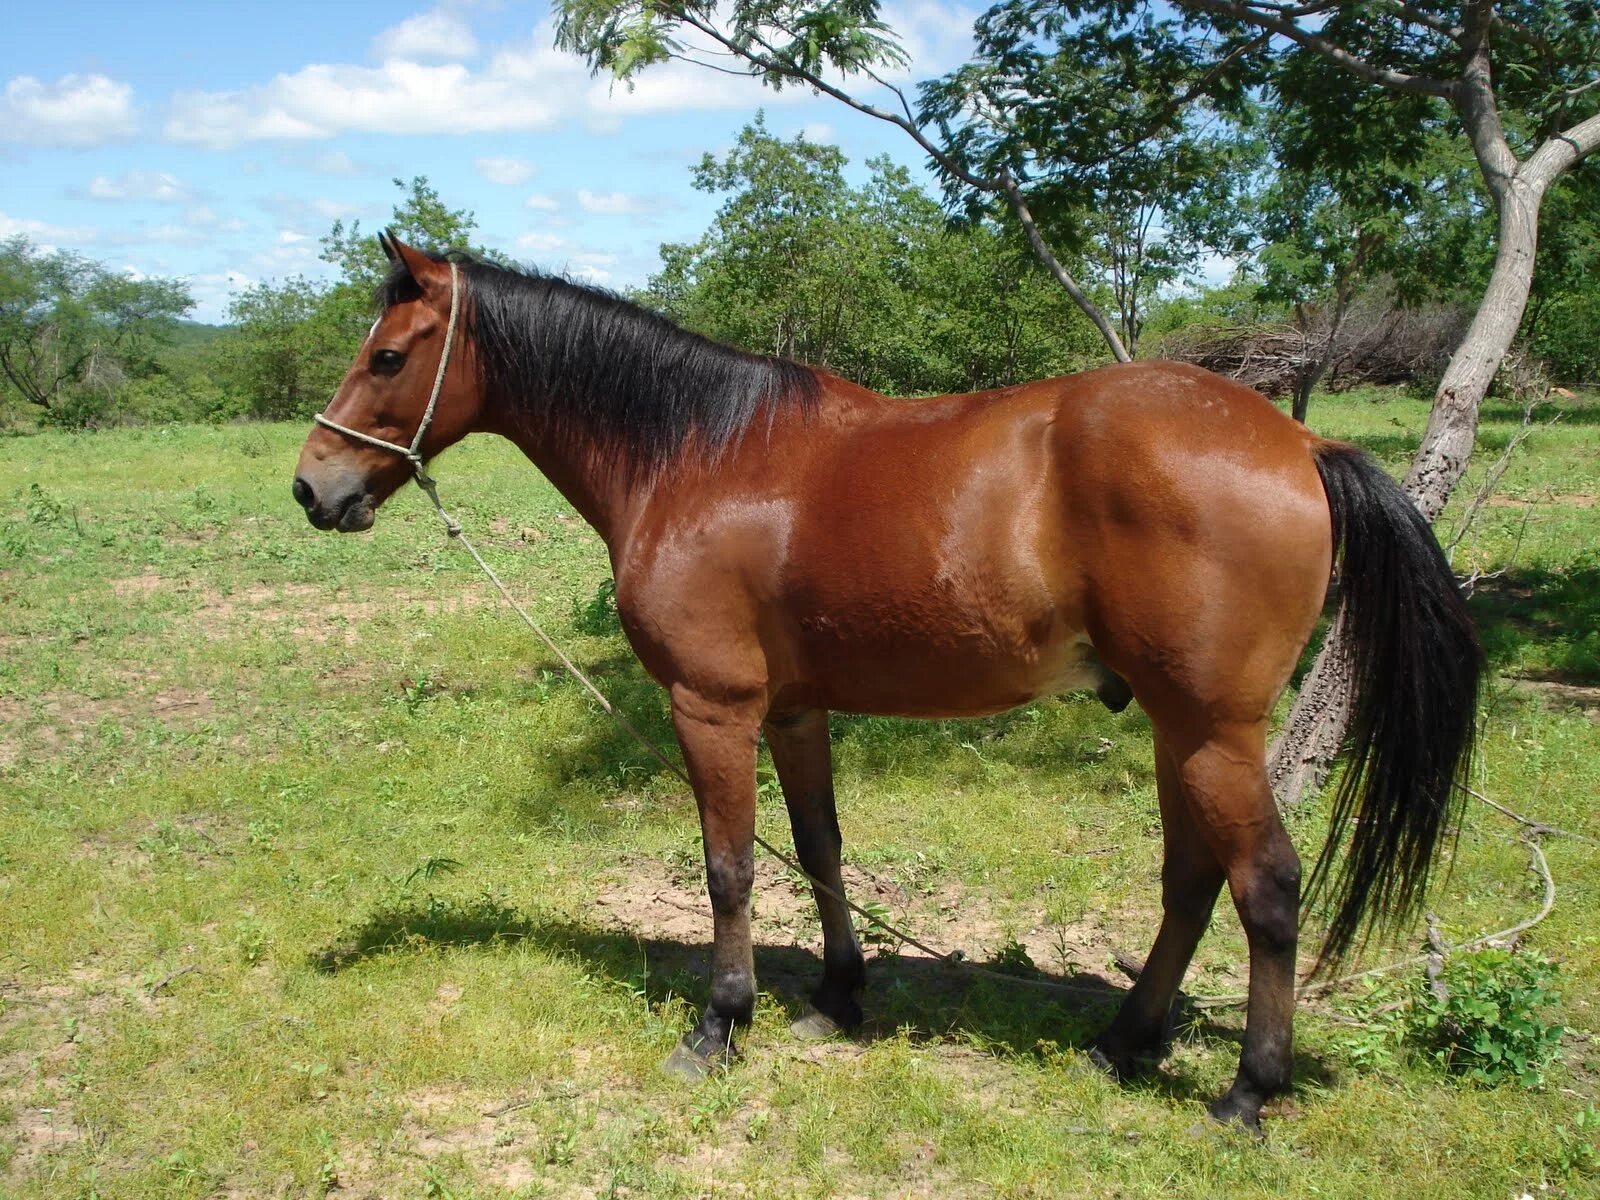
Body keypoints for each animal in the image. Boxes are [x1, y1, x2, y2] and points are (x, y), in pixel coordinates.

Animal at [291, 232, 1472, 1126]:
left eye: (388, 357)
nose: (312, 487)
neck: (698, 454)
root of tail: (1299, 442)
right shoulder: (795, 710)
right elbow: (819, 848)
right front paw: (835, 997)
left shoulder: (711, 708)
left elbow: (729, 869)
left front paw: (721, 1024)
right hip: (1176, 732)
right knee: (1190, 882)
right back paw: (1121, 1044)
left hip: (1213, 732)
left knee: (1265, 889)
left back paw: (1246, 1093)